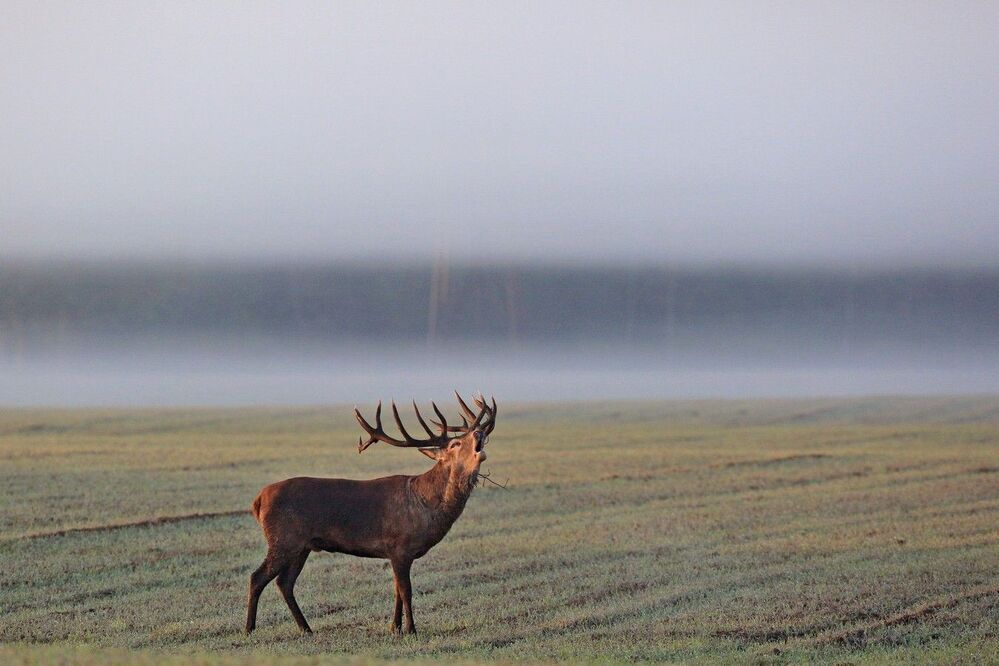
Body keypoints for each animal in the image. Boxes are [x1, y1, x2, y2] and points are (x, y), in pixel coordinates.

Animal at [245, 392, 497, 637]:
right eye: (455, 443)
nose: (479, 432)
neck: (425, 505)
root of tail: (258, 500)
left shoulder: (396, 553)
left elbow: (396, 590)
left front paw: (394, 628)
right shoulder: (399, 547)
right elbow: (406, 590)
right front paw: (411, 630)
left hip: (301, 546)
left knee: (284, 583)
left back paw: (306, 629)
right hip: (283, 539)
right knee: (257, 577)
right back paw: (249, 629)